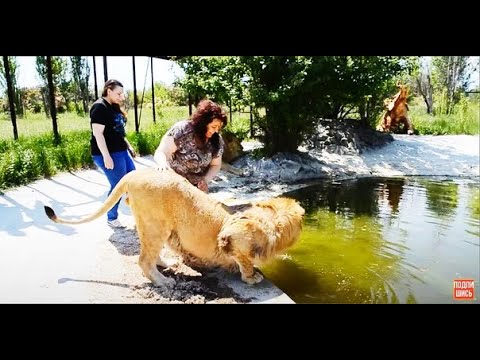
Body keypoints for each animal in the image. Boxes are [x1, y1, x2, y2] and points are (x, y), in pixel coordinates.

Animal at [44, 167, 304, 288]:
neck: (267, 221)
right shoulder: (233, 237)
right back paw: (163, 282)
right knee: (143, 260)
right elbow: (244, 259)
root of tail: (134, 173)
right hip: (156, 225)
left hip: (155, 227)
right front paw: (252, 277)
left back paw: (164, 264)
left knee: (150, 253)